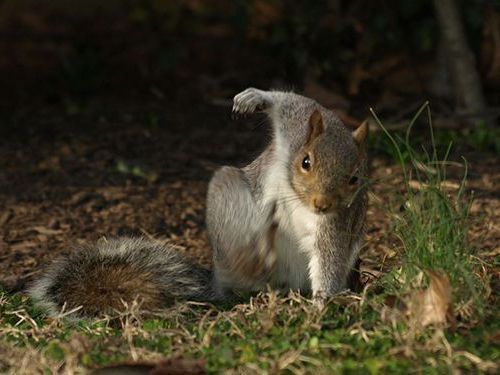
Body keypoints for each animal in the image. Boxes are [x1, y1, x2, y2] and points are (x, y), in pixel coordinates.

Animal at [29, 88, 370, 318]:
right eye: (305, 161)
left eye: (355, 177)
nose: (322, 203)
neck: (298, 196)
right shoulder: (295, 125)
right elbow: (289, 101)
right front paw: (253, 98)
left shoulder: (336, 223)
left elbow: (330, 258)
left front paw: (322, 303)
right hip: (226, 193)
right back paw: (251, 257)